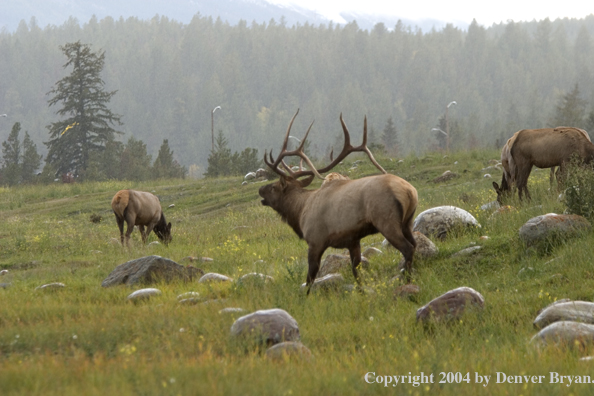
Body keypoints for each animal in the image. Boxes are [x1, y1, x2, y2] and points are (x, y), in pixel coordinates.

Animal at [258, 109, 416, 294]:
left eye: (274, 187)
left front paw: (304, 297)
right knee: (415, 244)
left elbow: (310, 278)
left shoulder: (315, 240)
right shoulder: (353, 240)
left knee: (408, 248)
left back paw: (407, 281)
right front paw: (361, 293)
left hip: (386, 220)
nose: (260, 189)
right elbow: (357, 272)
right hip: (407, 222)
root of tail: (409, 191)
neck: (300, 211)